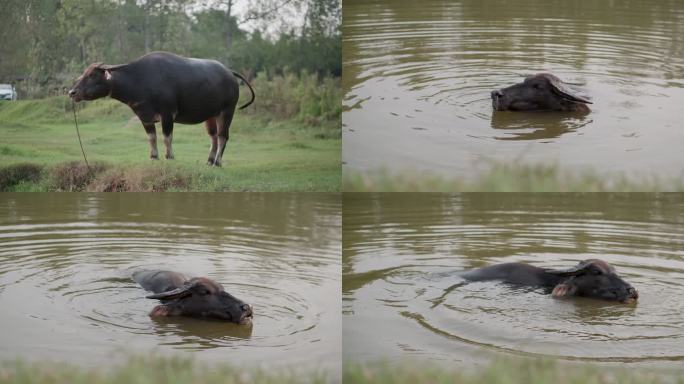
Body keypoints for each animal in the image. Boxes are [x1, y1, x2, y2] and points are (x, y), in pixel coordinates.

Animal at [68, 51, 255, 166]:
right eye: (84, 73)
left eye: (92, 75)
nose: (72, 92)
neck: (139, 79)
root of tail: (230, 73)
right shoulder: (144, 116)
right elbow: (152, 137)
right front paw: (154, 157)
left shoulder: (167, 114)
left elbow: (167, 137)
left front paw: (169, 156)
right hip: (211, 115)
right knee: (213, 136)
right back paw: (209, 161)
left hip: (227, 111)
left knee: (223, 136)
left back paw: (217, 162)